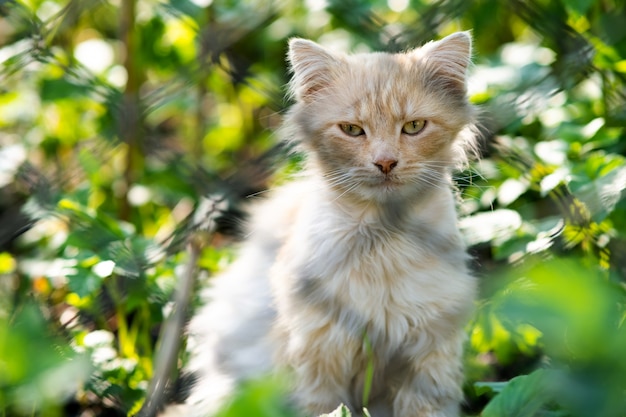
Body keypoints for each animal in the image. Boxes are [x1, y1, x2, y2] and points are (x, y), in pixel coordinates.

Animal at [168, 31, 476, 416]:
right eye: (352, 130)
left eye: (414, 127)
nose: (386, 163)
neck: (381, 240)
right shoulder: (319, 354)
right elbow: (323, 406)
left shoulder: (429, 355)